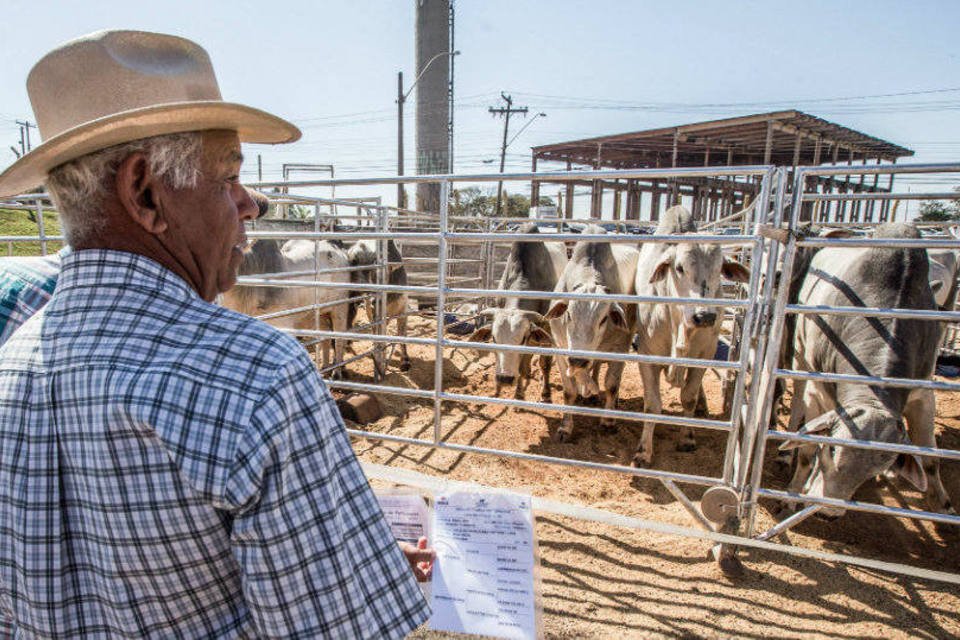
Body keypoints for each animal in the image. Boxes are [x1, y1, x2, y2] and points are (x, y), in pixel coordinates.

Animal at [466, 222, 568, 398]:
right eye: (494, 339)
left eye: (521, 339)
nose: (504, 378)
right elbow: (520, 363)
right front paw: (515, 392)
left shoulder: (545, 326)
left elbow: (544, 362)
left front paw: (545, 393)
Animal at [540, 224, 636, 440]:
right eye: (568, 315)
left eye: (604, 319)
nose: (578, 360)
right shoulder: (560, 348)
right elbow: (569, 391)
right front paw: (565, 427)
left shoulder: (621, 346)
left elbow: (612, 385)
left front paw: (608, 421)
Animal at [632, 208, 752, 468]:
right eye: (679, 268)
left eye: (720, 268)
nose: (704, 316)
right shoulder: (647, 355)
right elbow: (652, 404)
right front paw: (644, 450)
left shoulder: (704, 354)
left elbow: (688, 397)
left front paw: (687, 437)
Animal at [780, 224, 952, 520]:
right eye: (834, 449)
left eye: (879, 466)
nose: (828, 512)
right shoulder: (819, 389)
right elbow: (809, 448)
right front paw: (794, 492)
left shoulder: (923, 392)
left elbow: (930, 458)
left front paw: (941, 503)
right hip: (800, 355)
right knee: (798, 401)